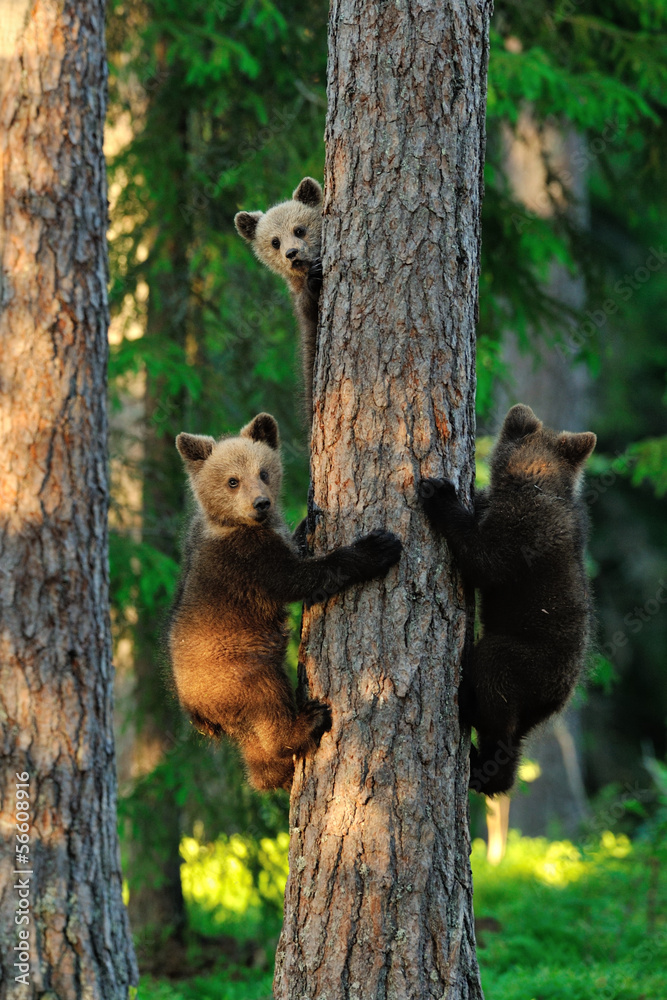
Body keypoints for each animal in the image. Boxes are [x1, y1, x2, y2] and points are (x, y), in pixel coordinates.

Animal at [169, 412, 402, 791]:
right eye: (233, 481)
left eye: (263, 472)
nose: (261, 503)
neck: (234, 525)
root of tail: (198, 713)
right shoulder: (248, 563)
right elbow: (302, 578)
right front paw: (377, 547)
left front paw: (308, 522)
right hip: (241, 670)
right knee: (268, 707)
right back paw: (309, 720)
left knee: (257, 750)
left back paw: (273, 774)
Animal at [234, 178, 323, 417]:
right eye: (275, 242)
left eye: (299, 229)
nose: (292, 254)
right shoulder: (303, 306)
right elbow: (308, 307)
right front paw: (315, 277)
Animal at [420, 403, 596, 796]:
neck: (537, 481)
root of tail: (559, 696)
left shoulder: (523, 529)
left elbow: (485, 560)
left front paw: (440, 494)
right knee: (509, 744)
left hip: (529, 661)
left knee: (494, 679)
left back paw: (469, 710)